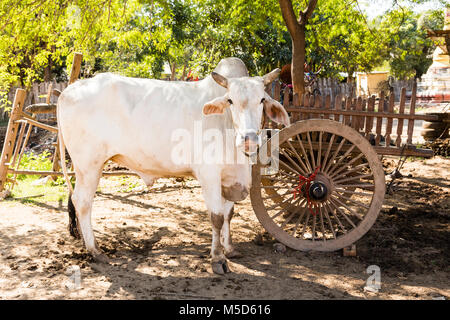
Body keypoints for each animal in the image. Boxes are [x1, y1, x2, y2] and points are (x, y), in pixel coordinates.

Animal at [58, 57, 290, 272]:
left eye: (262, 99)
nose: (248, 138)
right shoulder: (209, 175)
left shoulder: (230, 178)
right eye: (230, 100)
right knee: (82, 202)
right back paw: (95, 250)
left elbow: (228, 215)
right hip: (89, 165)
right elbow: (216, 217)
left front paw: (230, 249)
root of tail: (68, 91)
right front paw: (217, 258)